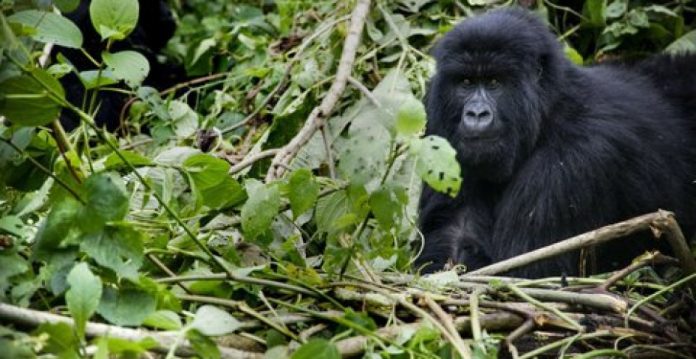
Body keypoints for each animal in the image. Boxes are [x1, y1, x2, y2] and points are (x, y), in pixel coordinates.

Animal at [416, 7, 696, 278]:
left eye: (495, 82)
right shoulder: (438, 118)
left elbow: (520, 269)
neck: (549, 110)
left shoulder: (573, 159)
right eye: (466, 82)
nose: (476, 114)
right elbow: (454, 236)